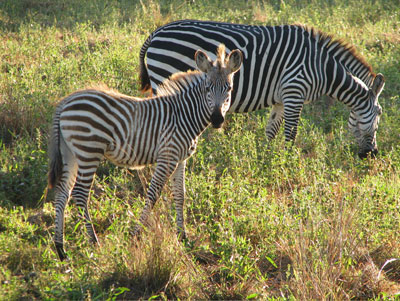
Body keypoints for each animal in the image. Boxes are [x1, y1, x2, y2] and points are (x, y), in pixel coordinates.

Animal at [47, 45, 241, 260]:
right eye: (208, 88)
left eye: (229, 89)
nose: (217, 120)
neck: (184, 115)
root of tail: (66, 101)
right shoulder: (167, 157)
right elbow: (153, 194)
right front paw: (135, 235)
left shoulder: (180, 159)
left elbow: (180, 195)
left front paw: (183, 238)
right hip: (89, 151)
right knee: (80, 194)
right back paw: (93, 242)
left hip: (70, 153)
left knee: (62, 193)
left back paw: (61, 249)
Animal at [140, 19, 384, 158]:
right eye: (379, 114)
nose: (371, 155)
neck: (322, 67)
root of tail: (155, 33)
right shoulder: (294, 91)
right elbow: (290, 134)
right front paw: (287, 164)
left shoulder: (281, 100)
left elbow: (271, 132)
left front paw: (267, 162)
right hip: (166, 77)